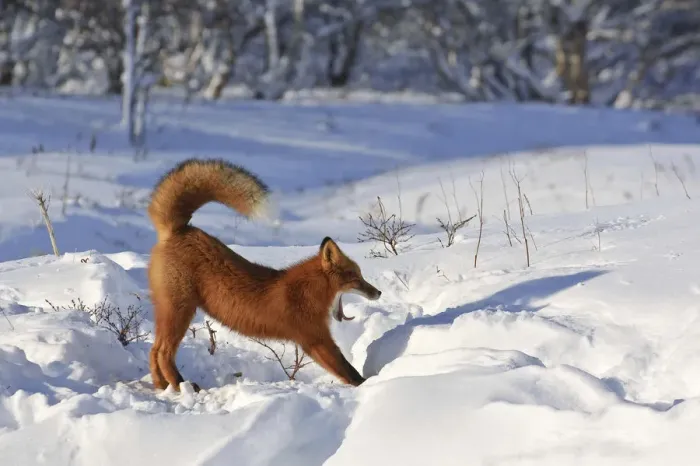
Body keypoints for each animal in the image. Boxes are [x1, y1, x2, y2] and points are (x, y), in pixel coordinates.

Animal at [146, 158, 381, 392]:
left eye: (361, 275)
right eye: (355, 277)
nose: (378, 293)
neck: (307, 292)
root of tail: (180, 229)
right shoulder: (315, 338)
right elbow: (347, 370)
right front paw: (368, 385)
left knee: (153, 351)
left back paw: (162, 386)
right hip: (180, 310)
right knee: (163, 352)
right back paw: (180, 384)